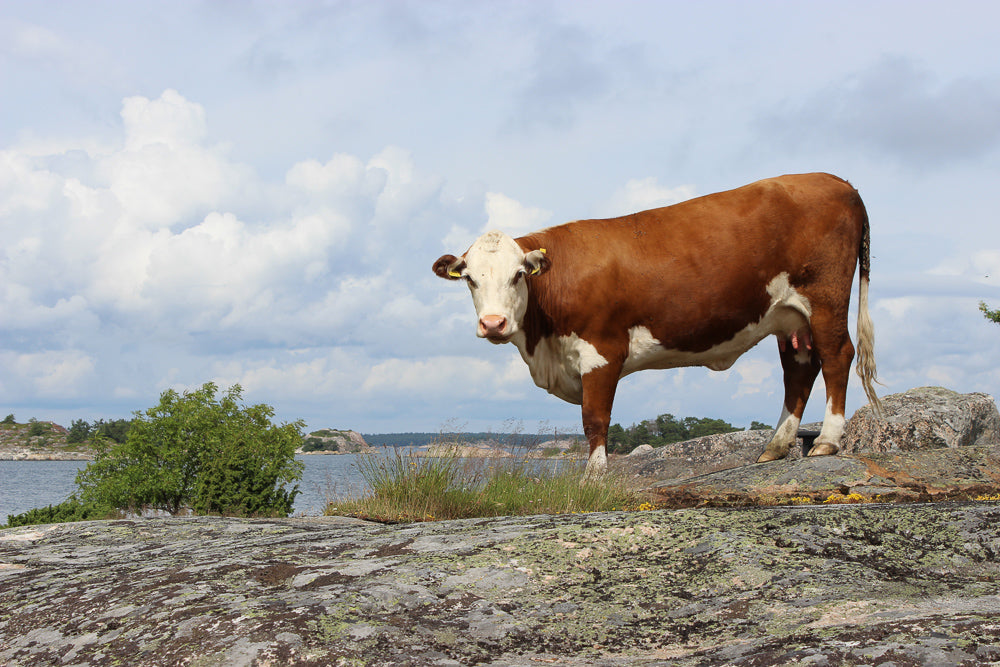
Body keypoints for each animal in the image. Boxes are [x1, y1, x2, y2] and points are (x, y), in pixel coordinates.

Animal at [434, 171, 880, 474]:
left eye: (518, 275)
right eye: (470, 278)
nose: (494, 324)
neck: (544, 347)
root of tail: (839, 182)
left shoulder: (601, 351)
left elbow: (595, 419)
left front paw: (594, 477)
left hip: (825, 297)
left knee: (837, 356)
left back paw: (826, 441)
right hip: (790, 318)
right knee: (799, 370)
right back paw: (775, 446)